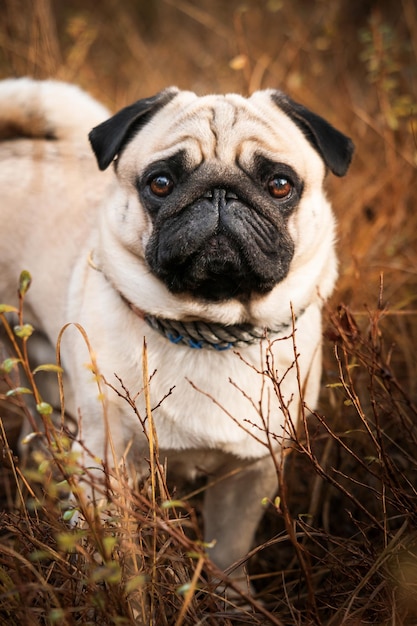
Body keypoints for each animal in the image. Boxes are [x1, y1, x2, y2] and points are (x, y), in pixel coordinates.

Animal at [0, 78, 352, 584]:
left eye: (280, 184)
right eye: (160, 183)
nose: (220, 193)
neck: (209, 329)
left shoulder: (253, 471)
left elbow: (230, 551)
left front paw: (232, 597)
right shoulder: (106, 464)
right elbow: (113, 550)